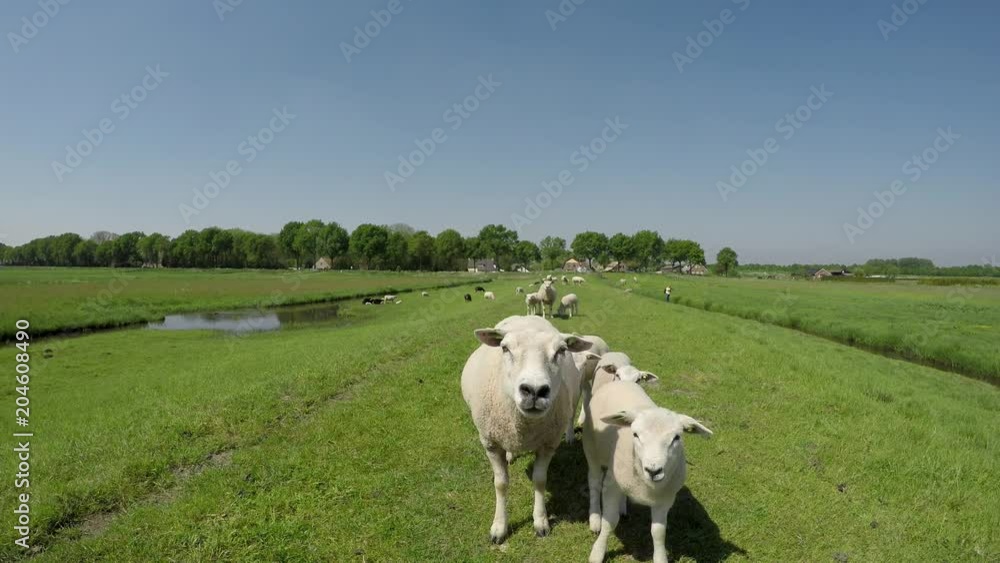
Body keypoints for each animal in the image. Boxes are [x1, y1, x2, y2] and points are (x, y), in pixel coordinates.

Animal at [461, 316, 592, 543]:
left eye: (561, 350)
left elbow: (540, 481)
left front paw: (540, 522)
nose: (534, 390)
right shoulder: (490, 443)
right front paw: (499, 527)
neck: (525, 426)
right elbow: (500, 484)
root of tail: (525, 318)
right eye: (505, 348)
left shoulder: (549, 443)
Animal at [583, 381, 712, 563]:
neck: (647, 486)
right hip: (591, 448)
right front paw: (598, 552)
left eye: (677, 437)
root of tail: (620, 381)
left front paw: (660, 557)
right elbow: (609, 522)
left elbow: (658, 532)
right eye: (635, 434)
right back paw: (594, 518)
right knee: (594, 482)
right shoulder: (611, 486)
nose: (653, 470)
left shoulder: (665, 499)